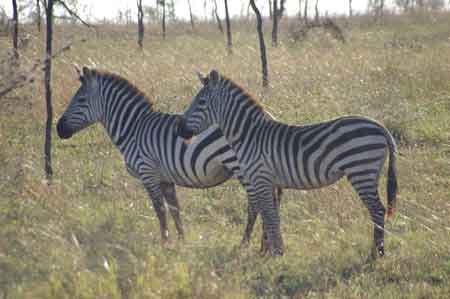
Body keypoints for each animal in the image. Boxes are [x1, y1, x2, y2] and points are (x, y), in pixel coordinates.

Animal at [57, 67, 282, 248]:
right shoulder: (165, 178)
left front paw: (165, 243)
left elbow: (160, 210)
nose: (58, 129)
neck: (133, 128)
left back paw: (246, 243)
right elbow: (174, 209)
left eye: (80, 100)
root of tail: (266, 118)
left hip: (244, 169)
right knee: (267, 202)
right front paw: (182, 241)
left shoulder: (147, 172)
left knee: (256, 204)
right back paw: (264, 245)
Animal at [176, 69, 398, 258]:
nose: (179, 129)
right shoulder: (269, 182)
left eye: (201, 102)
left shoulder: (260, 178)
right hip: (369, 172)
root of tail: (380, 126)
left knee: (378, 210)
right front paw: (272, 250)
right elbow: (272, 215)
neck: (249, 135)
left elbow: (269, 215)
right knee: (377, 210)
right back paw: (376, 251)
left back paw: (376, 254)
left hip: (361, 170)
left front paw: (276, 253)